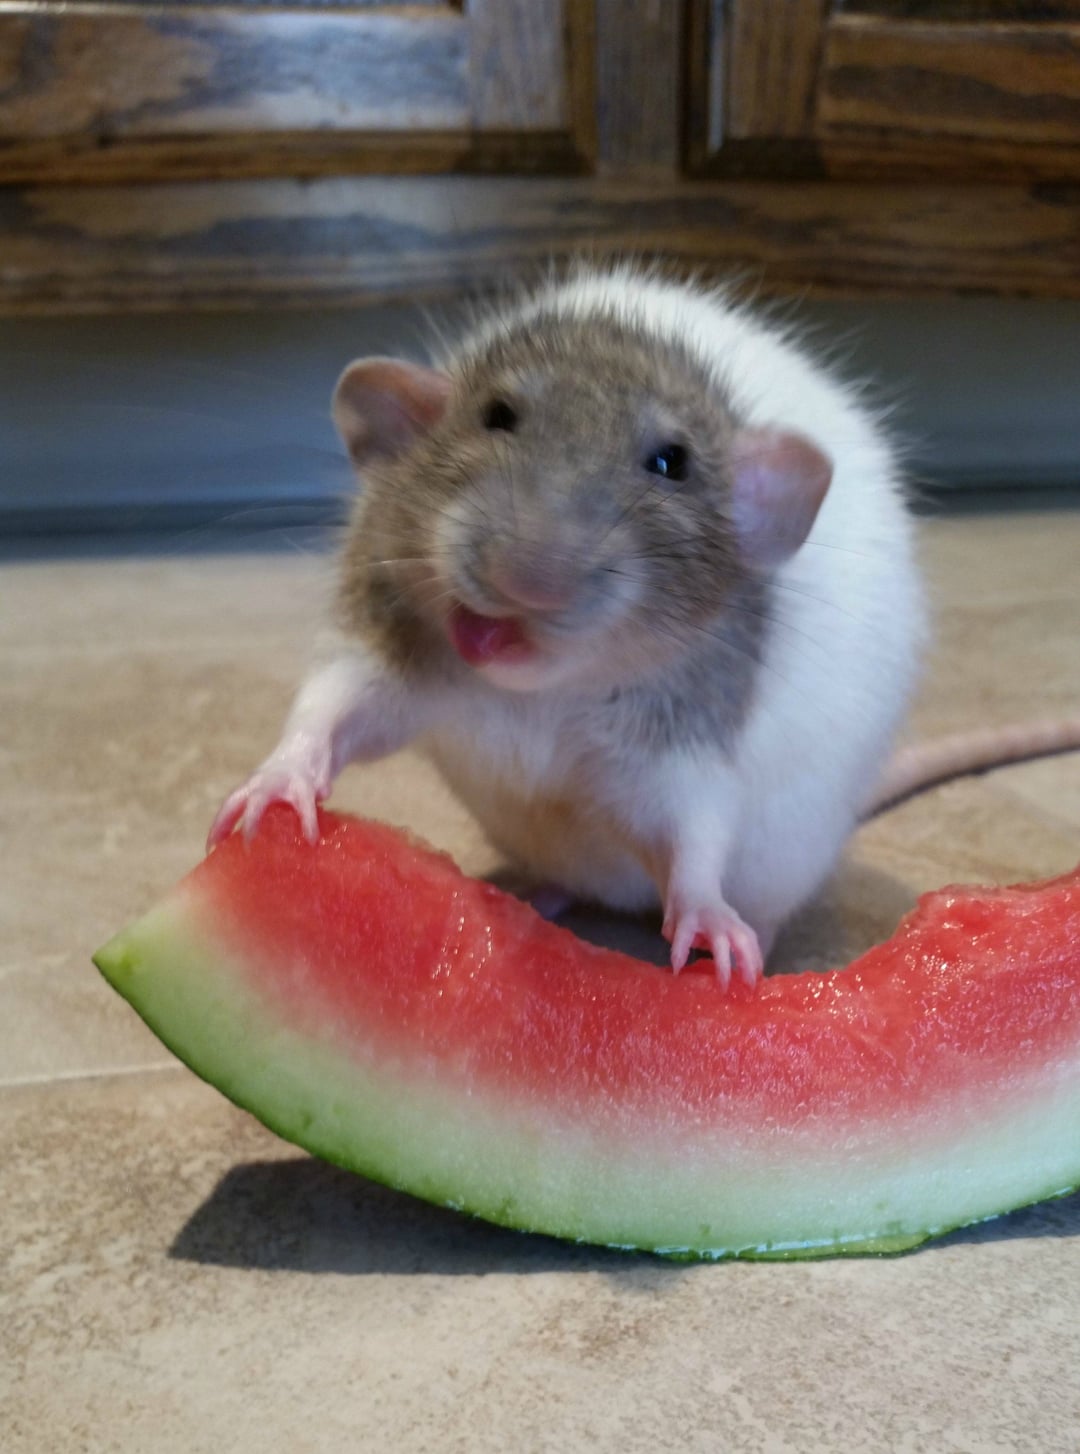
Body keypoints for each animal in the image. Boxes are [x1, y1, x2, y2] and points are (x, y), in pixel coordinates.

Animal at [210, 263, 927, 990]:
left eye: (672, 463)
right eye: (496, 416)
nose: (530, 577)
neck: (541, 694)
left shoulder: (684, 726)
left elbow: (691, 822)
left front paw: (705, 911)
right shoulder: (390, 633)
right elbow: (341, 702)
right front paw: (284, 775)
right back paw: (538, 895)